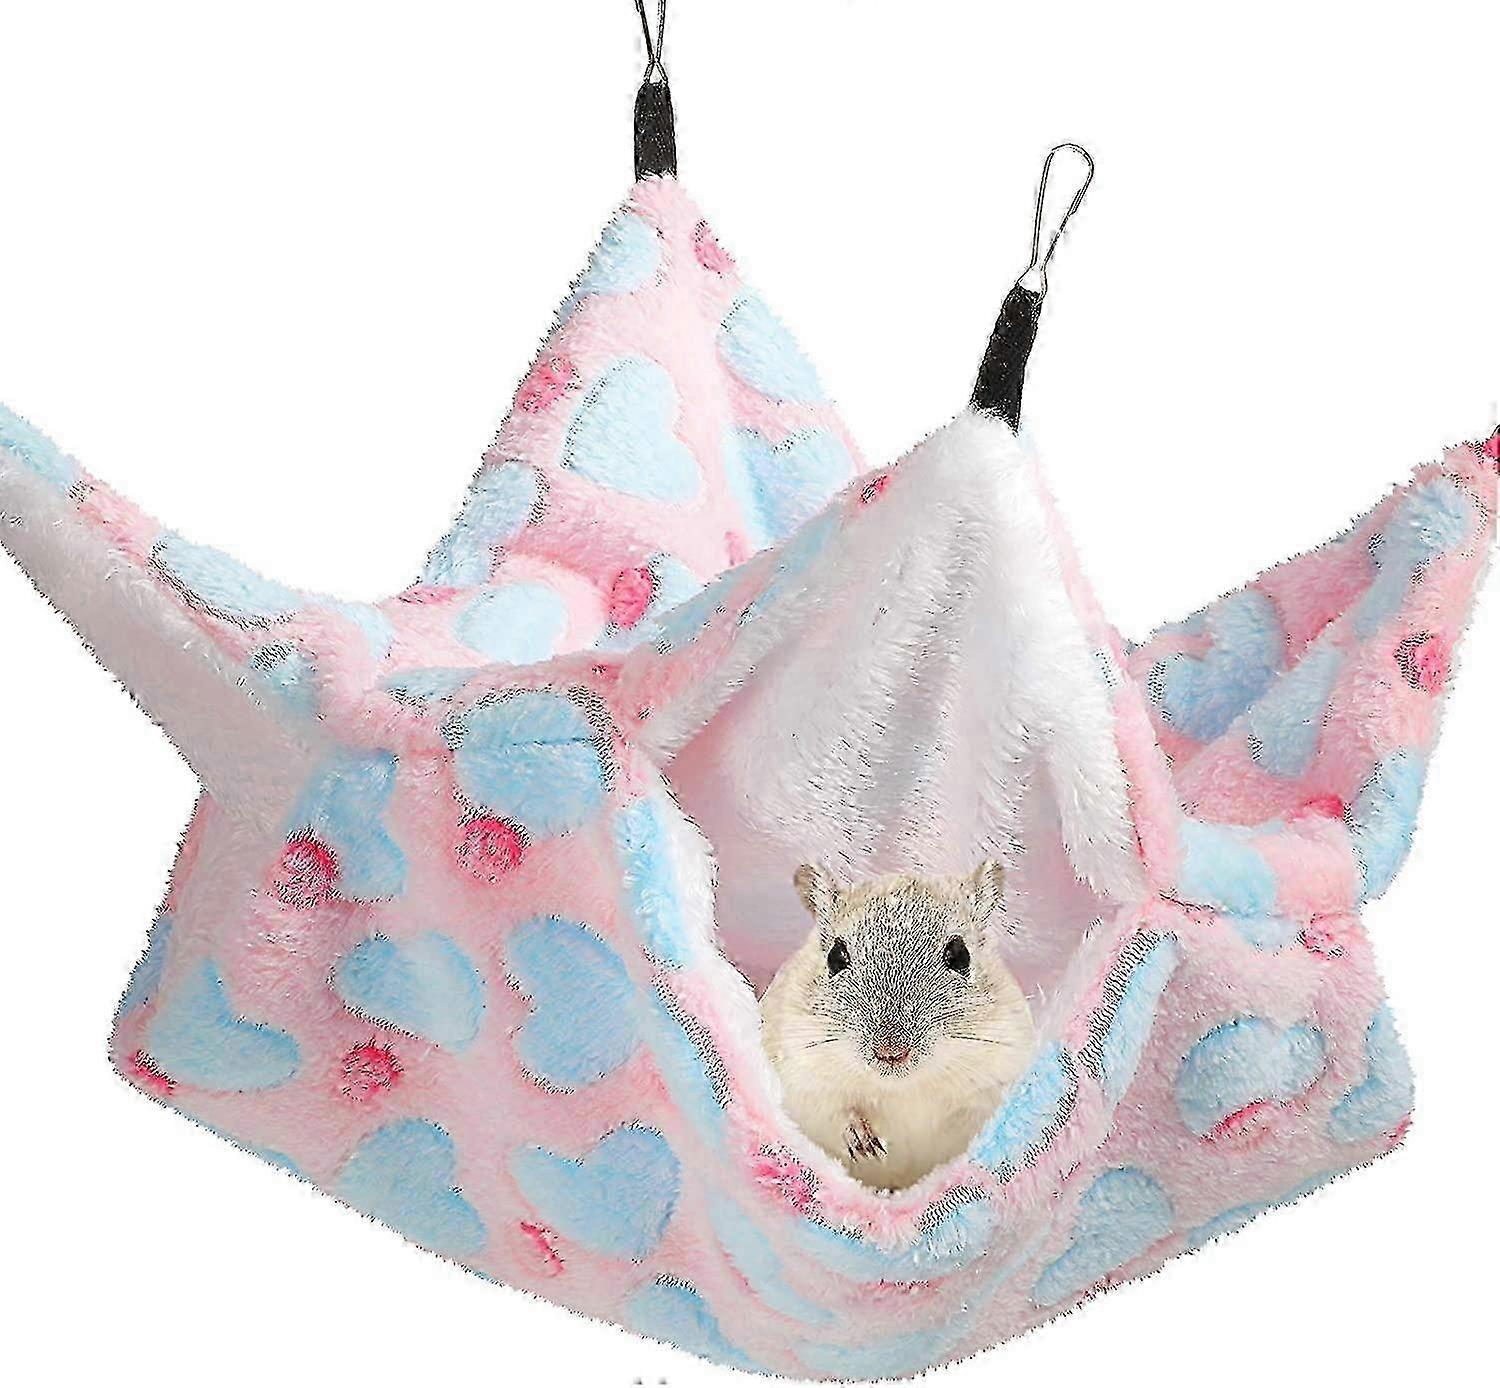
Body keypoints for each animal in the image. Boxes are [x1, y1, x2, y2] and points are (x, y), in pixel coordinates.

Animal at [759, 860, 1036, 1191]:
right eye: (835, 957)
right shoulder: (802, 1077)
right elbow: (834, 1112)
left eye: (960, 956)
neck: (904, 1087)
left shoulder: (995, 1080)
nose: (890, 1052)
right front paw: (865, 1143)